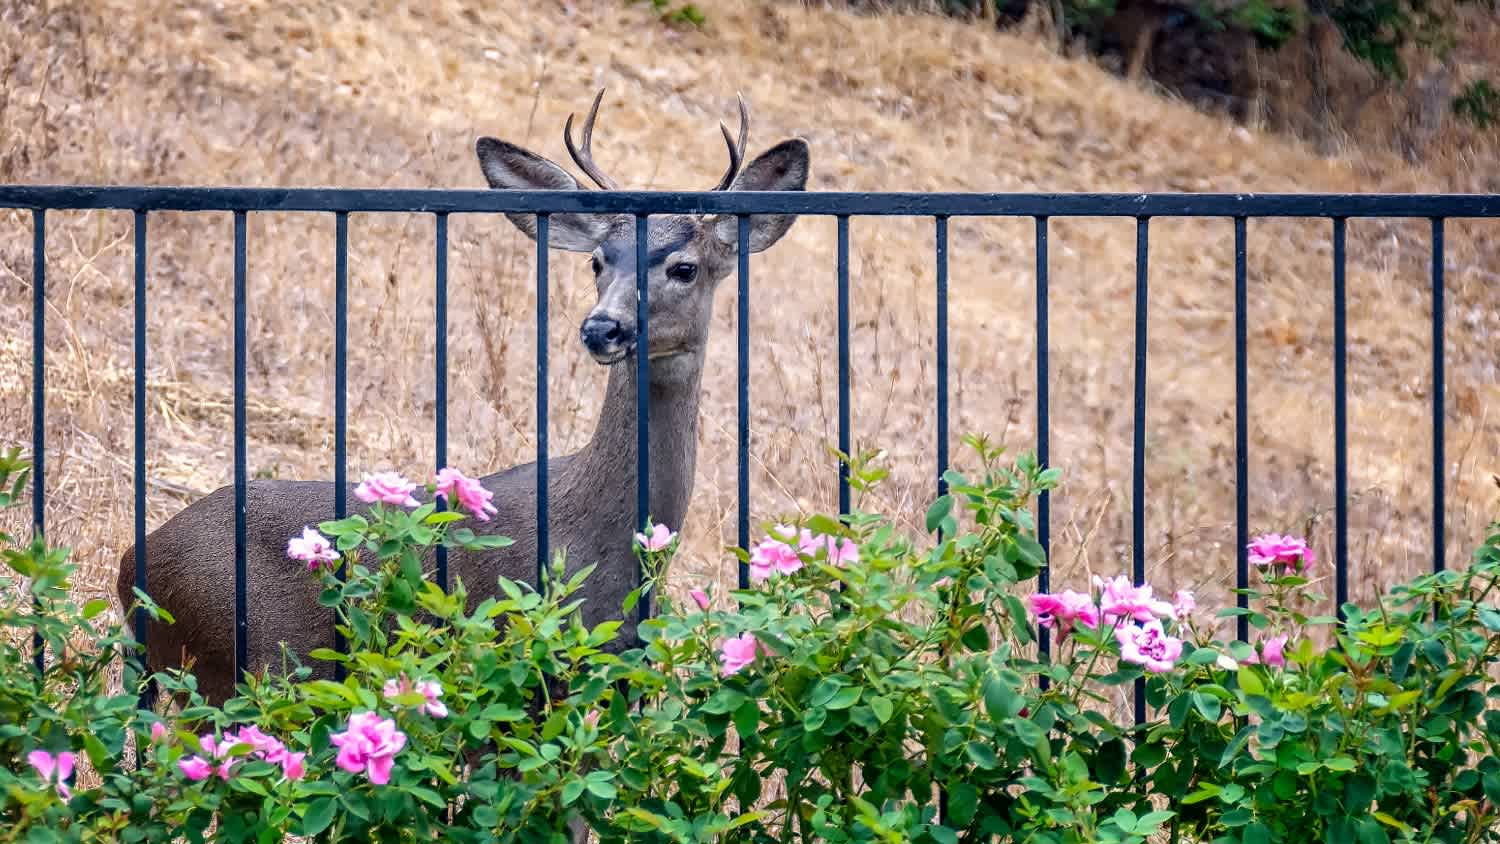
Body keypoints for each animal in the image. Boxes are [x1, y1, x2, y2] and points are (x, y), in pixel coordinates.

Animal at [116, 89, 811, 706]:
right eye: (597, 260)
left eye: (685, 267)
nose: (602, 328)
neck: (598, 539)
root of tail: (131, 569)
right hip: (241, 662)